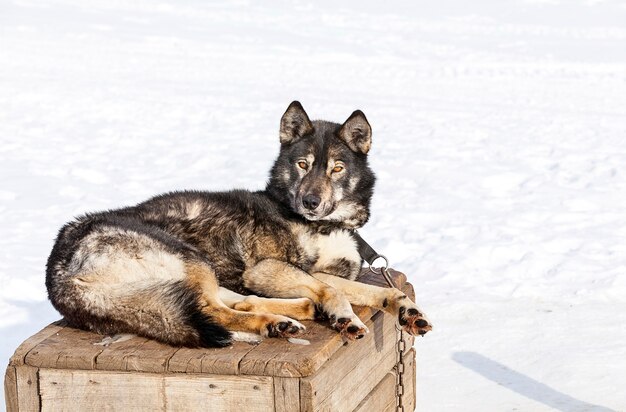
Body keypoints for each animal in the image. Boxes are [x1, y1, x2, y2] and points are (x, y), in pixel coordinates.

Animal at [45, 101, 428, 346]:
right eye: (302, 165)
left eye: (337, 168)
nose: (310, 202)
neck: (327, 225)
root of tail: (60, 273)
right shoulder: (264, 269)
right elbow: (333, 290)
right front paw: (345, 318)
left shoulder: (317, 271)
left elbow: (372, 290)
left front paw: (406, 309)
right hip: (188, 257)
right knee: (214, 310)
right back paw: (274, 324)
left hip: (194, 275)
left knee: (237, 301)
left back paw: (292, 314)